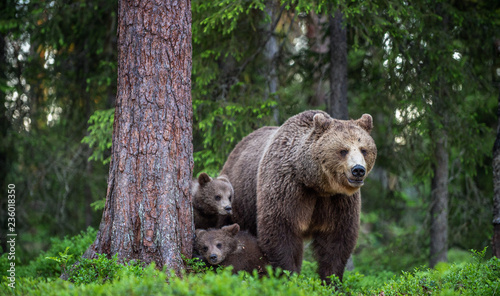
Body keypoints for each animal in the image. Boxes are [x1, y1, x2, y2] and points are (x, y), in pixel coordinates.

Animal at [221, 110, 376, 284]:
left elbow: (337, 240)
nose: (358, 170)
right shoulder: (288, 188)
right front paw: (289, 276)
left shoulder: (338, 200)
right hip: (240, 197)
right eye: (343, 150)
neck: (316, 184)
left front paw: (332, 281)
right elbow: (281, 231)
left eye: (364, 149)